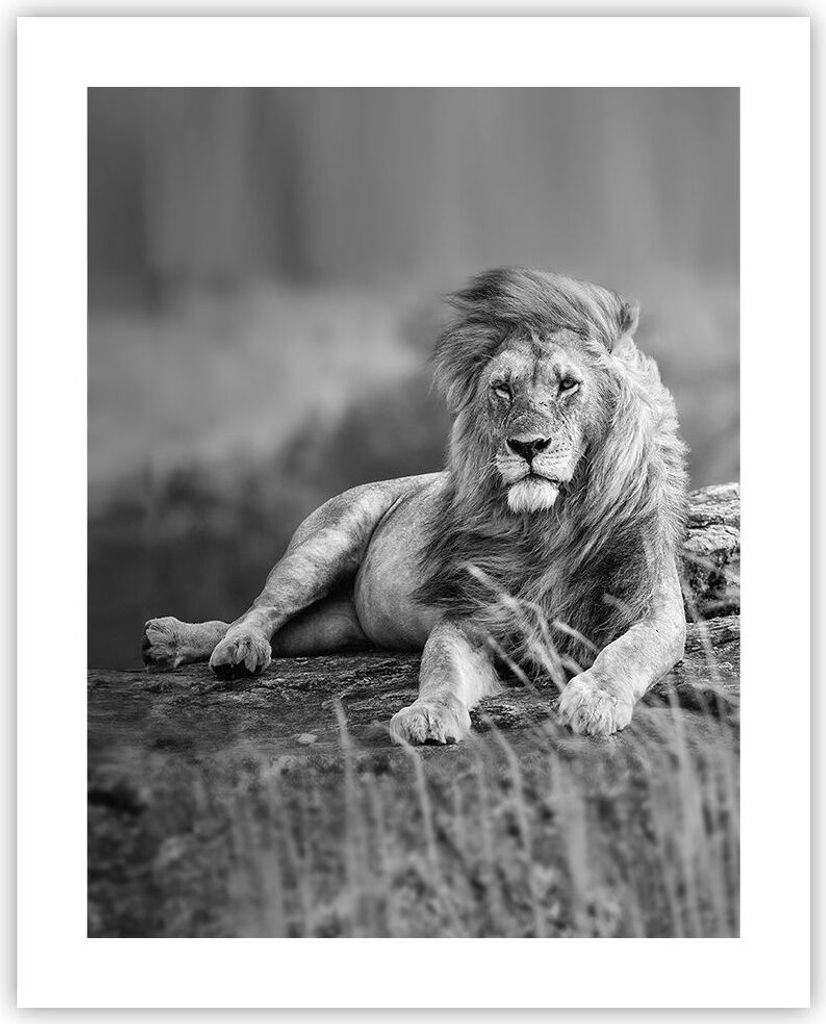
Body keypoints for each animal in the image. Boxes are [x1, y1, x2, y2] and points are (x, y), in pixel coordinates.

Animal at [142, 268, 688, 742]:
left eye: (567, 384)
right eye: (502, 388)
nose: (527, 446)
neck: (550, 523)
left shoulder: (655, 609)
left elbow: (627, 653)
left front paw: (595, 699)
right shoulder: (470, 614)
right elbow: (441, 668)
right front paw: (428, 715)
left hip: (335, 627)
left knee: (265, 627)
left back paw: (174, 642)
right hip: (323, 545)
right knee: (260, 609)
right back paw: (223, 646)